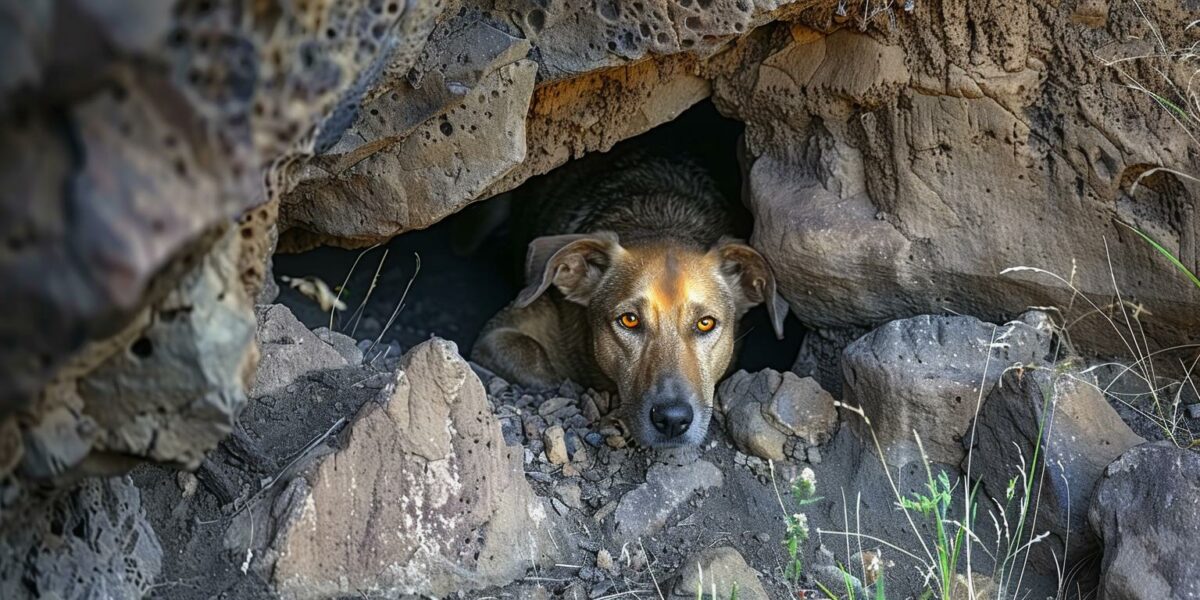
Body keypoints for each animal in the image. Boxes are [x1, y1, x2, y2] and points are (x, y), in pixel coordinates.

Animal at [468, 147, 787, 448]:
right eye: (629, 320)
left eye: (705, 323)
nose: (672, 420)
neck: (660, 217)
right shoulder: (498, 333)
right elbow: (540, 363)